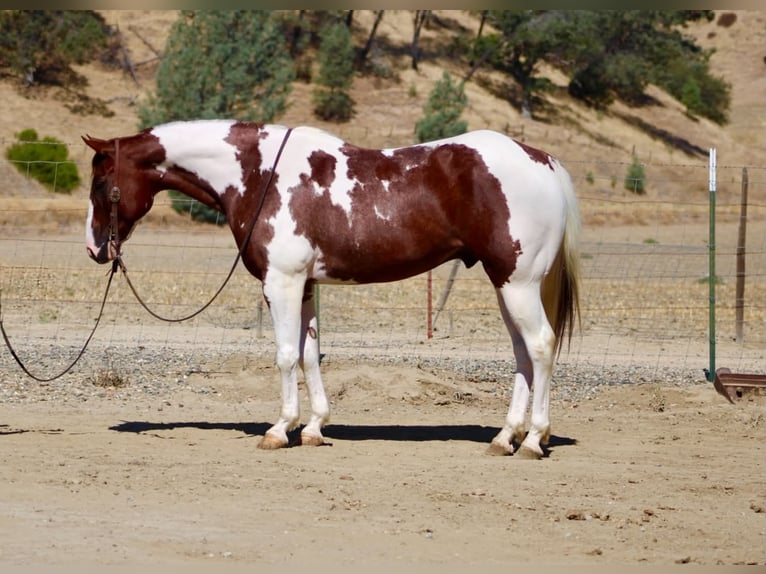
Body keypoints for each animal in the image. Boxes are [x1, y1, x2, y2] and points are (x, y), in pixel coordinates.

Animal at [83, 119, 580, 458]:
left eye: (102, 182)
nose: (94, 248)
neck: (262, 175)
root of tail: (545, 162)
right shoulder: (304, 286)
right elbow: (309, 353)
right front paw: (314, 428)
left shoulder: (282, 283)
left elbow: (286, 355)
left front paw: (280, 430)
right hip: (506, 285)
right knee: (522, 353)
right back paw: (506, 436)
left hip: (518, 283)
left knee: (540, 346)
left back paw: (533, 439)